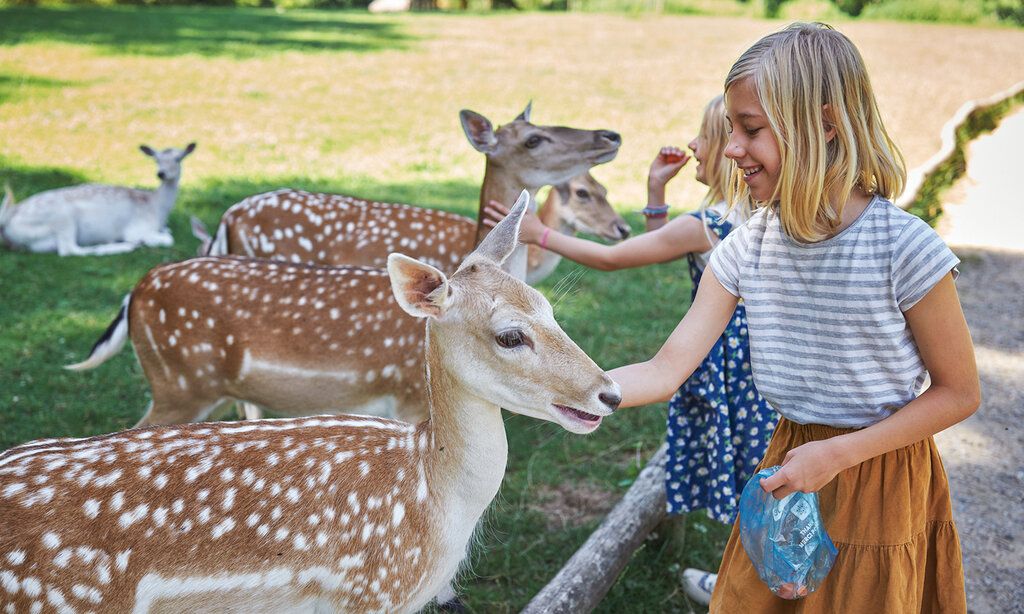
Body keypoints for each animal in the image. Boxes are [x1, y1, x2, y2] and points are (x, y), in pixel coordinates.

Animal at [0, 142, 194, 255]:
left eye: (178, 158)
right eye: (156, 159)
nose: (161, 173)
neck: (156, 209)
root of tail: (8, 219)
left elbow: (168, 232)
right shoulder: (137, 228)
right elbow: (168, 239)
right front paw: (143, 241)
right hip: (61, 217)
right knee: (69, 249)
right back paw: (123, 246)